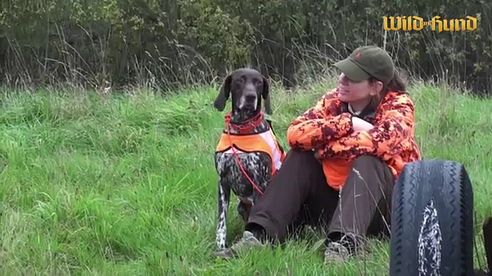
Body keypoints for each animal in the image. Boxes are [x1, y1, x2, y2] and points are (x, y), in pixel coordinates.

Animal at [211, 68, 284, 256]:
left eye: (258, 82)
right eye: (240, 80)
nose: (251, 97)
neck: (242, 129)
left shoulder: (259, 181)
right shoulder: (222, 182)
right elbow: (221, 222)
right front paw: (220, 247)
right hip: (241, 206)